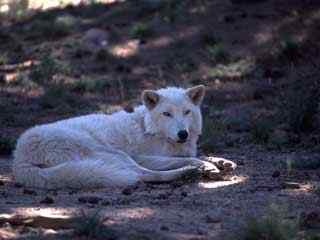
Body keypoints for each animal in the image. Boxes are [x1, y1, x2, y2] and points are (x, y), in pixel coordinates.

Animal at [12, 85, 221, 189]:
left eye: (186, 112)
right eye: (167, 114)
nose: (183, 134)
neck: (148, 127)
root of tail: (19, 159)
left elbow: (202, 155)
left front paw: (221, 161)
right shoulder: (143, 157)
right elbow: (188, 158)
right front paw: (206, 166)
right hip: (115, 154)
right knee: (143, 175)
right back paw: (187, 173)